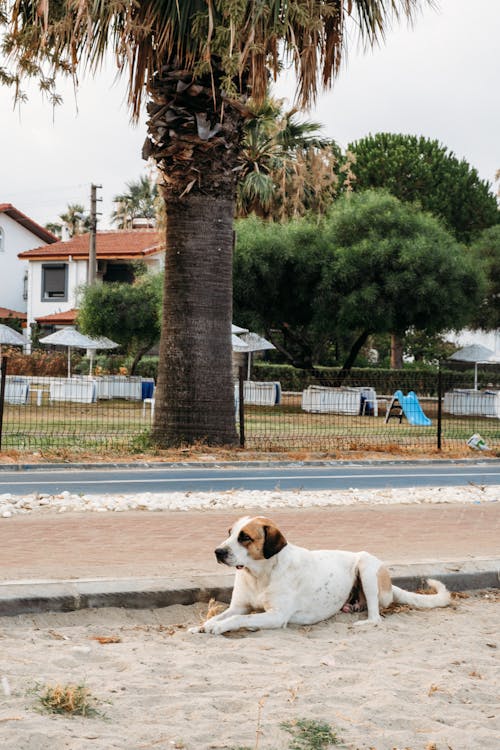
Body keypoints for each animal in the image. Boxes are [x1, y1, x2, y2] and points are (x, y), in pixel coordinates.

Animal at [189, 516, 452, 636]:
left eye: (245, 537)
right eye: (229, 532)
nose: (217, 552)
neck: (260, 573)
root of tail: (388, 584)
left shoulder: (276, 616)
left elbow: (237, 619)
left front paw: (218, 627)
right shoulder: (239, 606)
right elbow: (222, 615)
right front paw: (203, 625)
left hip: (366, 565)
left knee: (376, 616)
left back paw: (364, 621)